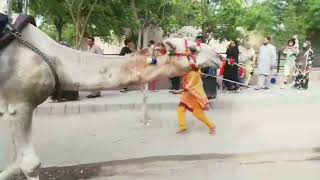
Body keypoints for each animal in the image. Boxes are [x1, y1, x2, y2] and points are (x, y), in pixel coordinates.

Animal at [0, 18, 221, 179]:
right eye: (193, 49)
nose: (218, 57)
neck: (56, 61)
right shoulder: (19, 102)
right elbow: (28, 164)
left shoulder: (11, 106)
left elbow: (14, 164)